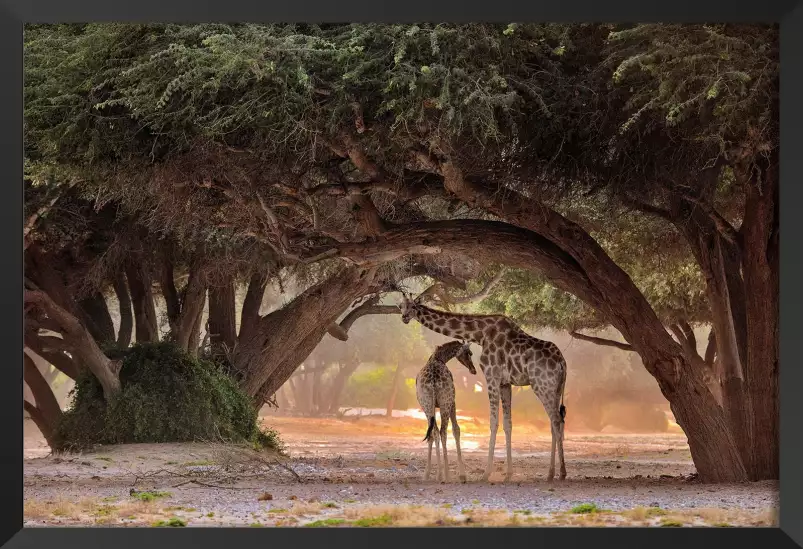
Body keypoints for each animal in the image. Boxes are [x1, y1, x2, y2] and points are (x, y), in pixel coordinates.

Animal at [418, 340, 474, 482]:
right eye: (469, 353)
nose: (473, 370)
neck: (439, 357)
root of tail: (433, 380)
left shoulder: (431, 406)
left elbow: (432, 434)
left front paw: (429, 474)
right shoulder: (453, 402)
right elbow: (456, 430)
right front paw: (462, 474)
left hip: (426, 404)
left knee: (434, 432)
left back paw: (437, 474)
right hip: (445, 403)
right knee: (443, 431)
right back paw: (447, 475)